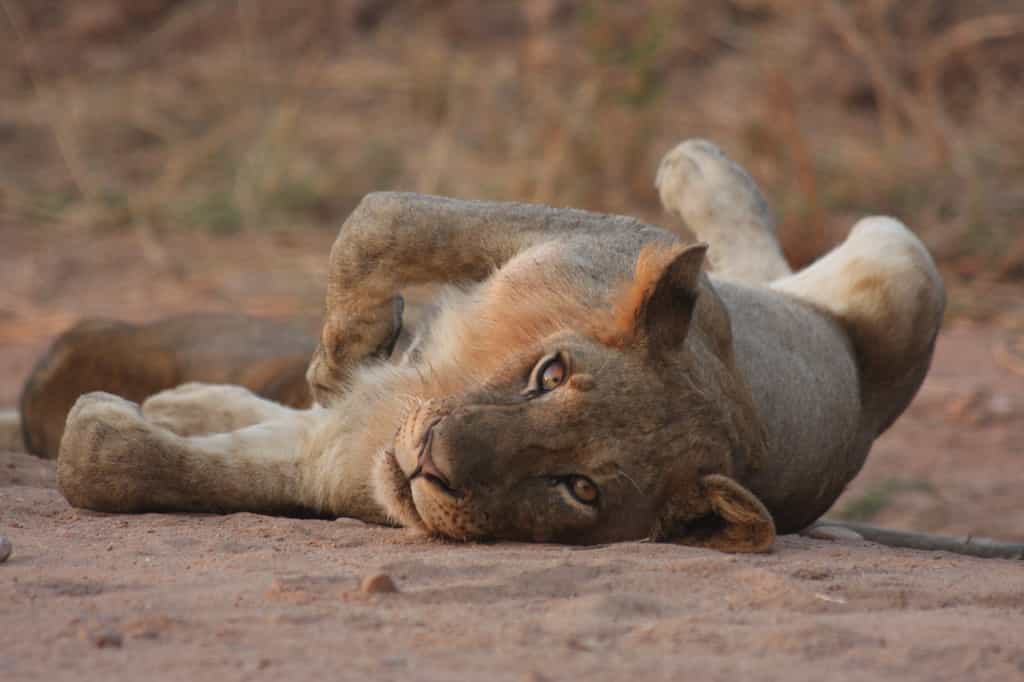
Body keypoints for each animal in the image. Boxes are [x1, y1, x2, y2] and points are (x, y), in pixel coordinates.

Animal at [50, 140, 946, 552]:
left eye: (578, 488)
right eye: (549, 374)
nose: (429, 460)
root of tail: (868, 412)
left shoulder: (333, 472)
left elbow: (112, 464)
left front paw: (107, 418)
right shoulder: (573, 238)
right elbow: (375, 222)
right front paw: (345, 355)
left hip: (906, 264)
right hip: (844, 261)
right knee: (742, 267)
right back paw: (696, 167)